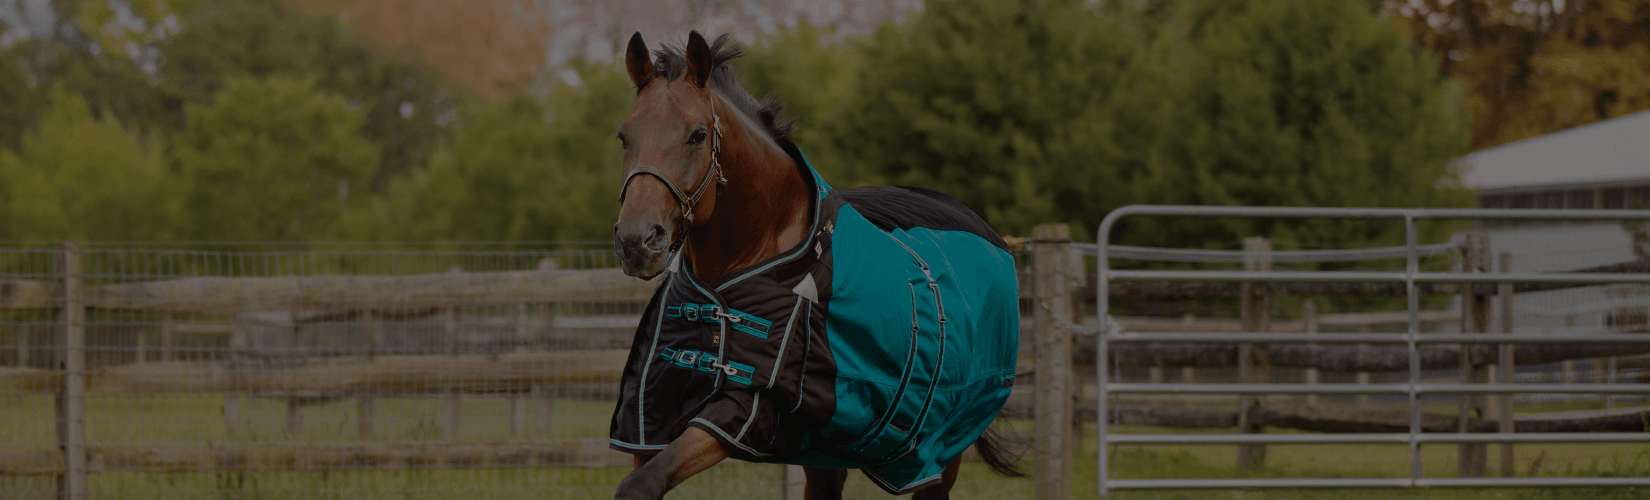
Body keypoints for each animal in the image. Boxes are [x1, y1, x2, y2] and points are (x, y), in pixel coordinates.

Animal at [610, 31, 1024, 500]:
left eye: (698, 135)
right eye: (624, 136)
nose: (637, 242)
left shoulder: (746, 403)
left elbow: (643, 483)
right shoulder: (649, 409)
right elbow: (643, 474)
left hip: (940, 452)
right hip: (824, 455)